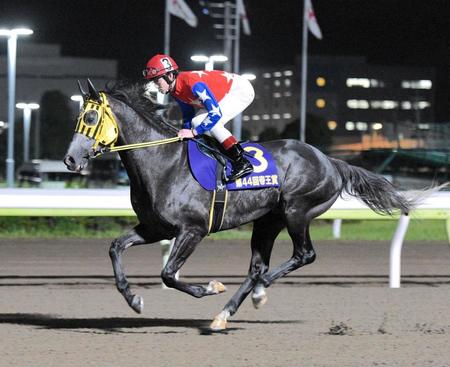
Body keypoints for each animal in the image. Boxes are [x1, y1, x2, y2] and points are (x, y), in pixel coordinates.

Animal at [64, 79, 414, 332]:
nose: (70, 159)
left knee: (303, 255)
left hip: (297, 211)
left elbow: (168, 274)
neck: (163, 162)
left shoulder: (192, 229)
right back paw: (225, 313)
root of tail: (331, 161)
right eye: (78, 117)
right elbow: (116, 248)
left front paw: (209, 287)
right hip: (268, 221)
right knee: (257, 266)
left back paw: (260, 290)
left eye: (90, 117)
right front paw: (133, 299)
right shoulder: (155, 228)